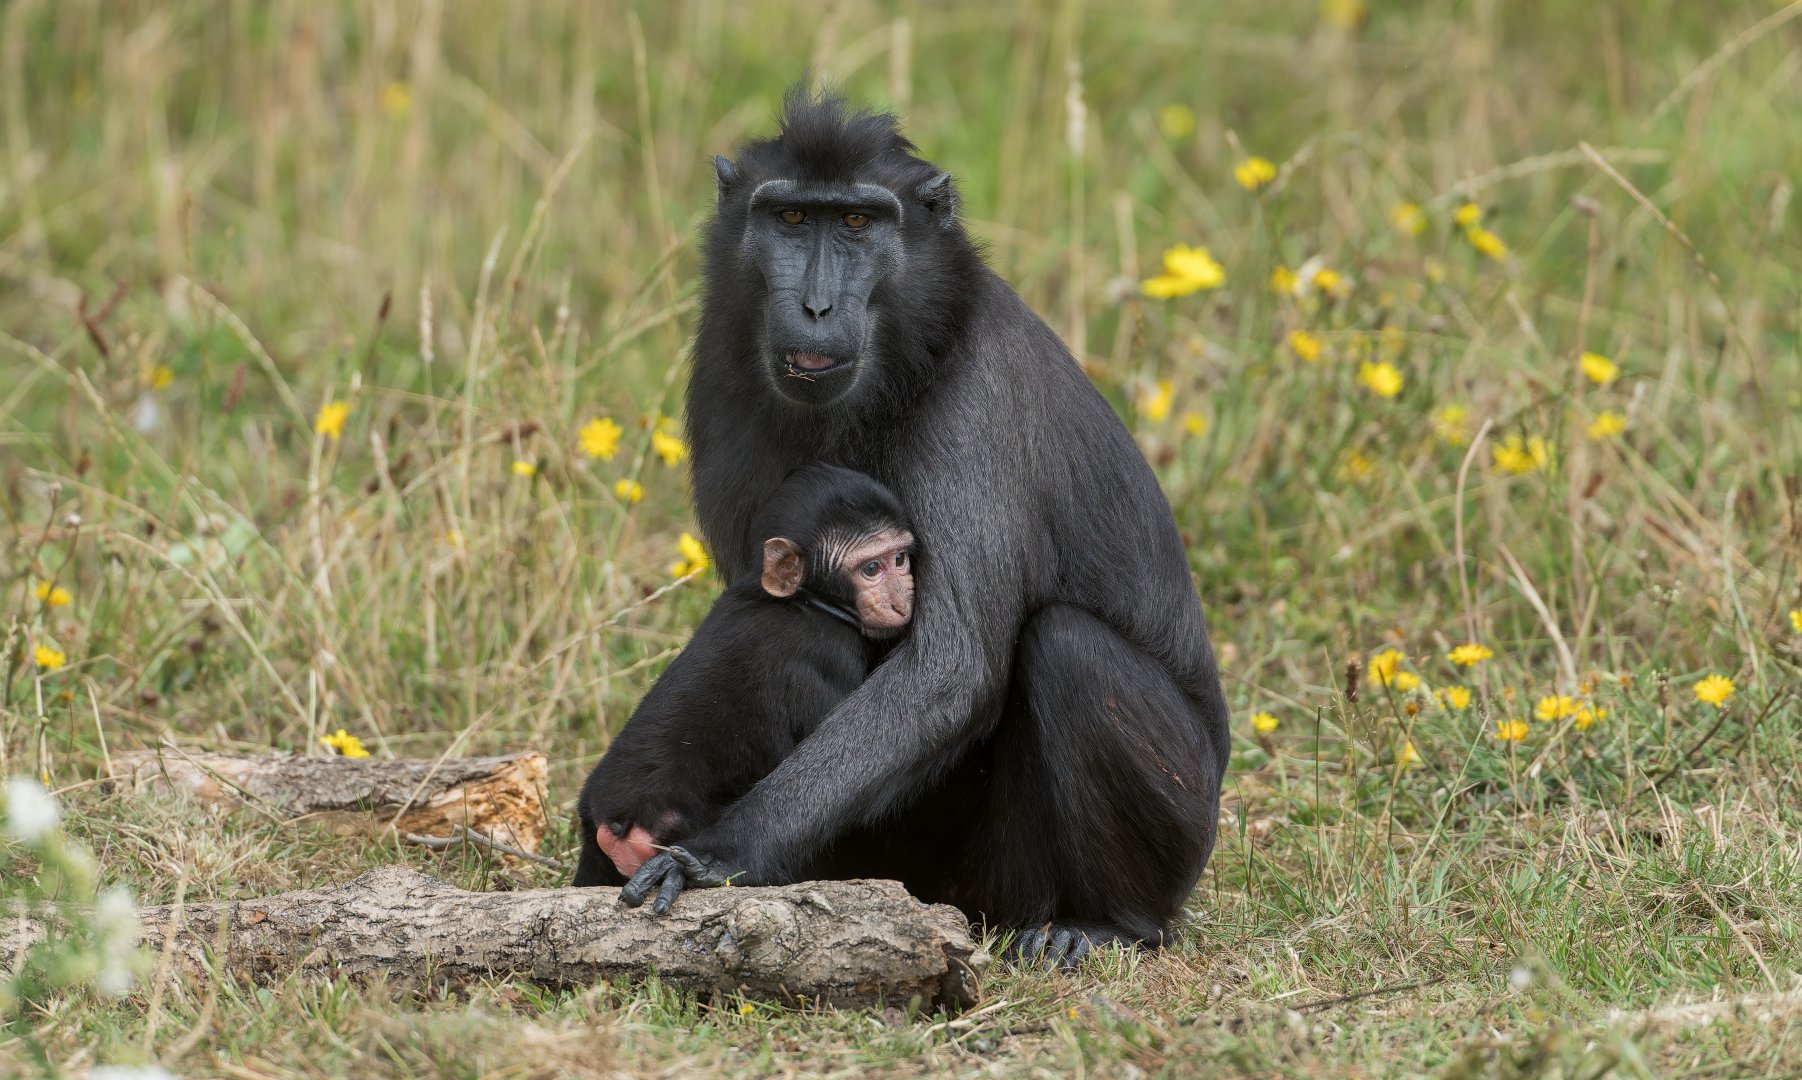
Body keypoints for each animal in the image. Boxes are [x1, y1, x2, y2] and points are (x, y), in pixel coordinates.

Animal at [570, 462, 914, 898]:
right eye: (871, 568)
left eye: (900, 558)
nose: (903, 597)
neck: (802, 600)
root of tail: (616, 820)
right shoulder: (830, 653)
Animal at [618, 88, 1230, 970]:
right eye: (792, 217)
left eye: (858, 223)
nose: (815, 306)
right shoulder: (720, 370)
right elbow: (755, 617)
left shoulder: (974, 397)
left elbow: (950, 669)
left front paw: (714, 855)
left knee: (1068, 648)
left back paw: (1111, 923)